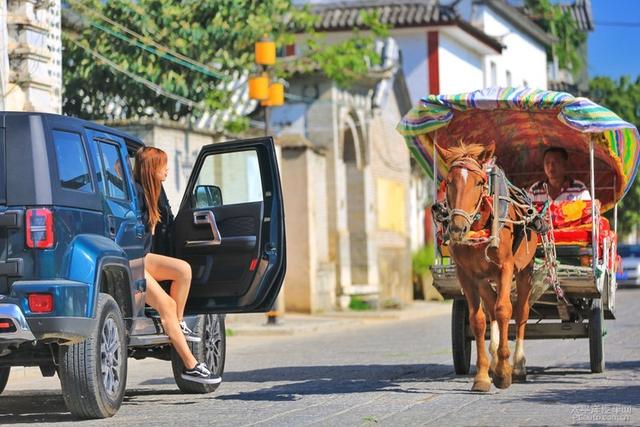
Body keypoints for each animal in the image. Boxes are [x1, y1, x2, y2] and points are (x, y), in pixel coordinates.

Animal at [436, 142, 540, 392]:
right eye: (448, 182)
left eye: (479, 182)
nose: (458, 229)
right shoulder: (467, 275)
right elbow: (478, 320)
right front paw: (483, 375)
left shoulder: (506, 268)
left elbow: (505, 311)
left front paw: (503, 373)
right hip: (484, 279)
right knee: (490, 308)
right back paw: (494, 360)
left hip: (525, 270)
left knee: (520, 312)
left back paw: (518, 365)